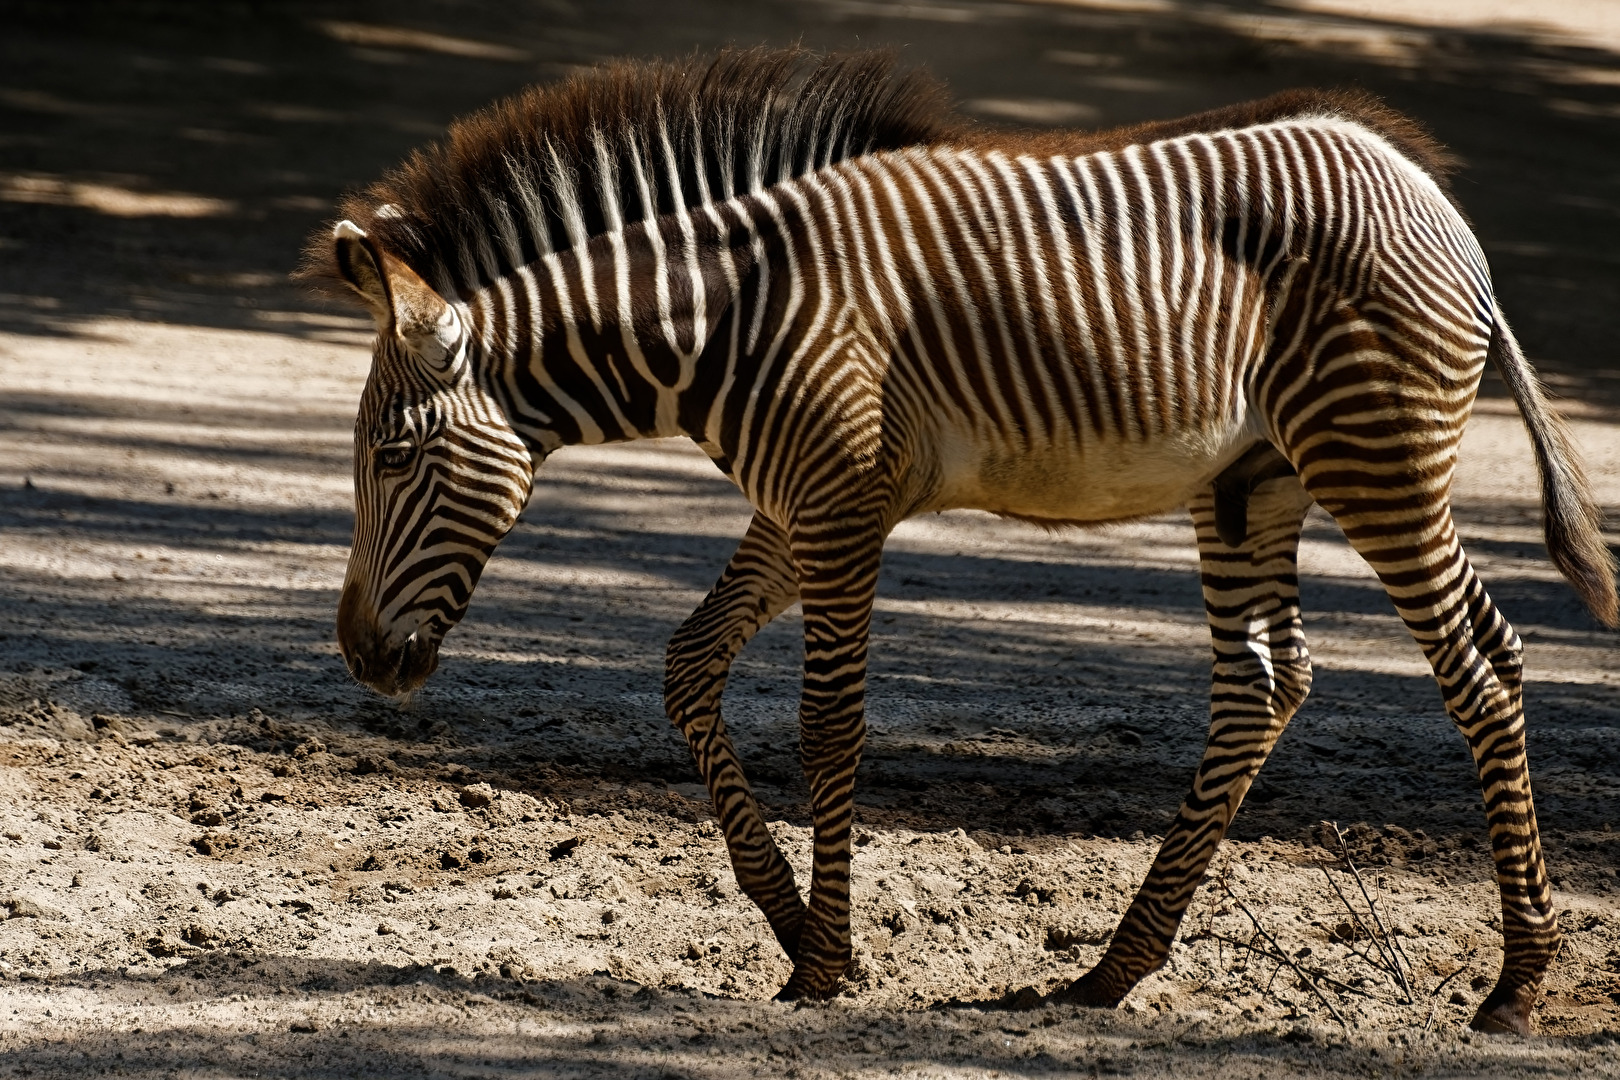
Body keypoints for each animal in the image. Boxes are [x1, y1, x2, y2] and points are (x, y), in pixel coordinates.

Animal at [307, 48, 1617, 1034]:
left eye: (395, 458)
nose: (362, 659)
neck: (724, 317)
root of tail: (1433, 197)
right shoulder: (801, 504)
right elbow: (687, 669)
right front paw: (792, 925)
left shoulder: (841, 505)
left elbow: (829, 726)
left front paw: (829, 961)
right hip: (1255, 480)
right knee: (1264, 680)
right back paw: (1111, 973)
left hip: (1373, 454)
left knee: (1481, 666)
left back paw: (1516, 985)